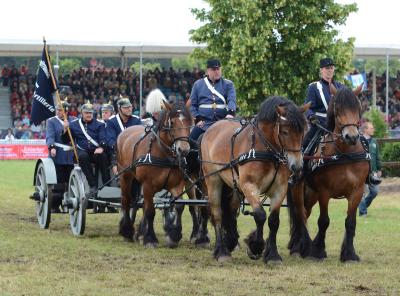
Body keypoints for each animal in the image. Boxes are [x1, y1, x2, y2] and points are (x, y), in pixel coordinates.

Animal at [117, 100, 192, 247]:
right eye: (172, 122)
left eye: (189, 122)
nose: (184, 150)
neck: (164, 153)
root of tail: (125, 131)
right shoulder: (148, 185)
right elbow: (150, 211)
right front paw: (150, 239)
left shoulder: (176, 185)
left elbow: (179, 206)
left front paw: (174, 236)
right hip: (125, 176)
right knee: (126, 200)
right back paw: (127, 231)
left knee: (138, 203)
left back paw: (139, 232)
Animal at [202, 96, 308, 262]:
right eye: (285, 132)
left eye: (302, 131)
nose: (296, 166)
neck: (267, 150)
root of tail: (211, 128)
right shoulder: (249, 185)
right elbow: (260, 215)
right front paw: (256, 246)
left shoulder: (280, 188)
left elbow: (273, 220)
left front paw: (272, 255)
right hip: (213, 181)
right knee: (217, 214)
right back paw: (222, 251)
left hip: (234, 186)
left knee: (230, 211)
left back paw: (231, 241)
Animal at [288, 85, 368, 262]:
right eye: (338, 109)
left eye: (358, 108)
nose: (351, 136)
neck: (343, 154)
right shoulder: (324, 192)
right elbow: (324, 221)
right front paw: (318, 250)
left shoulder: (357, 191)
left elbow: (350, 222)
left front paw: (349, 253)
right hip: (299, 189)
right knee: (300, 215)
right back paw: (300, 246)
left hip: (312, 194)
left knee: (306, 213)